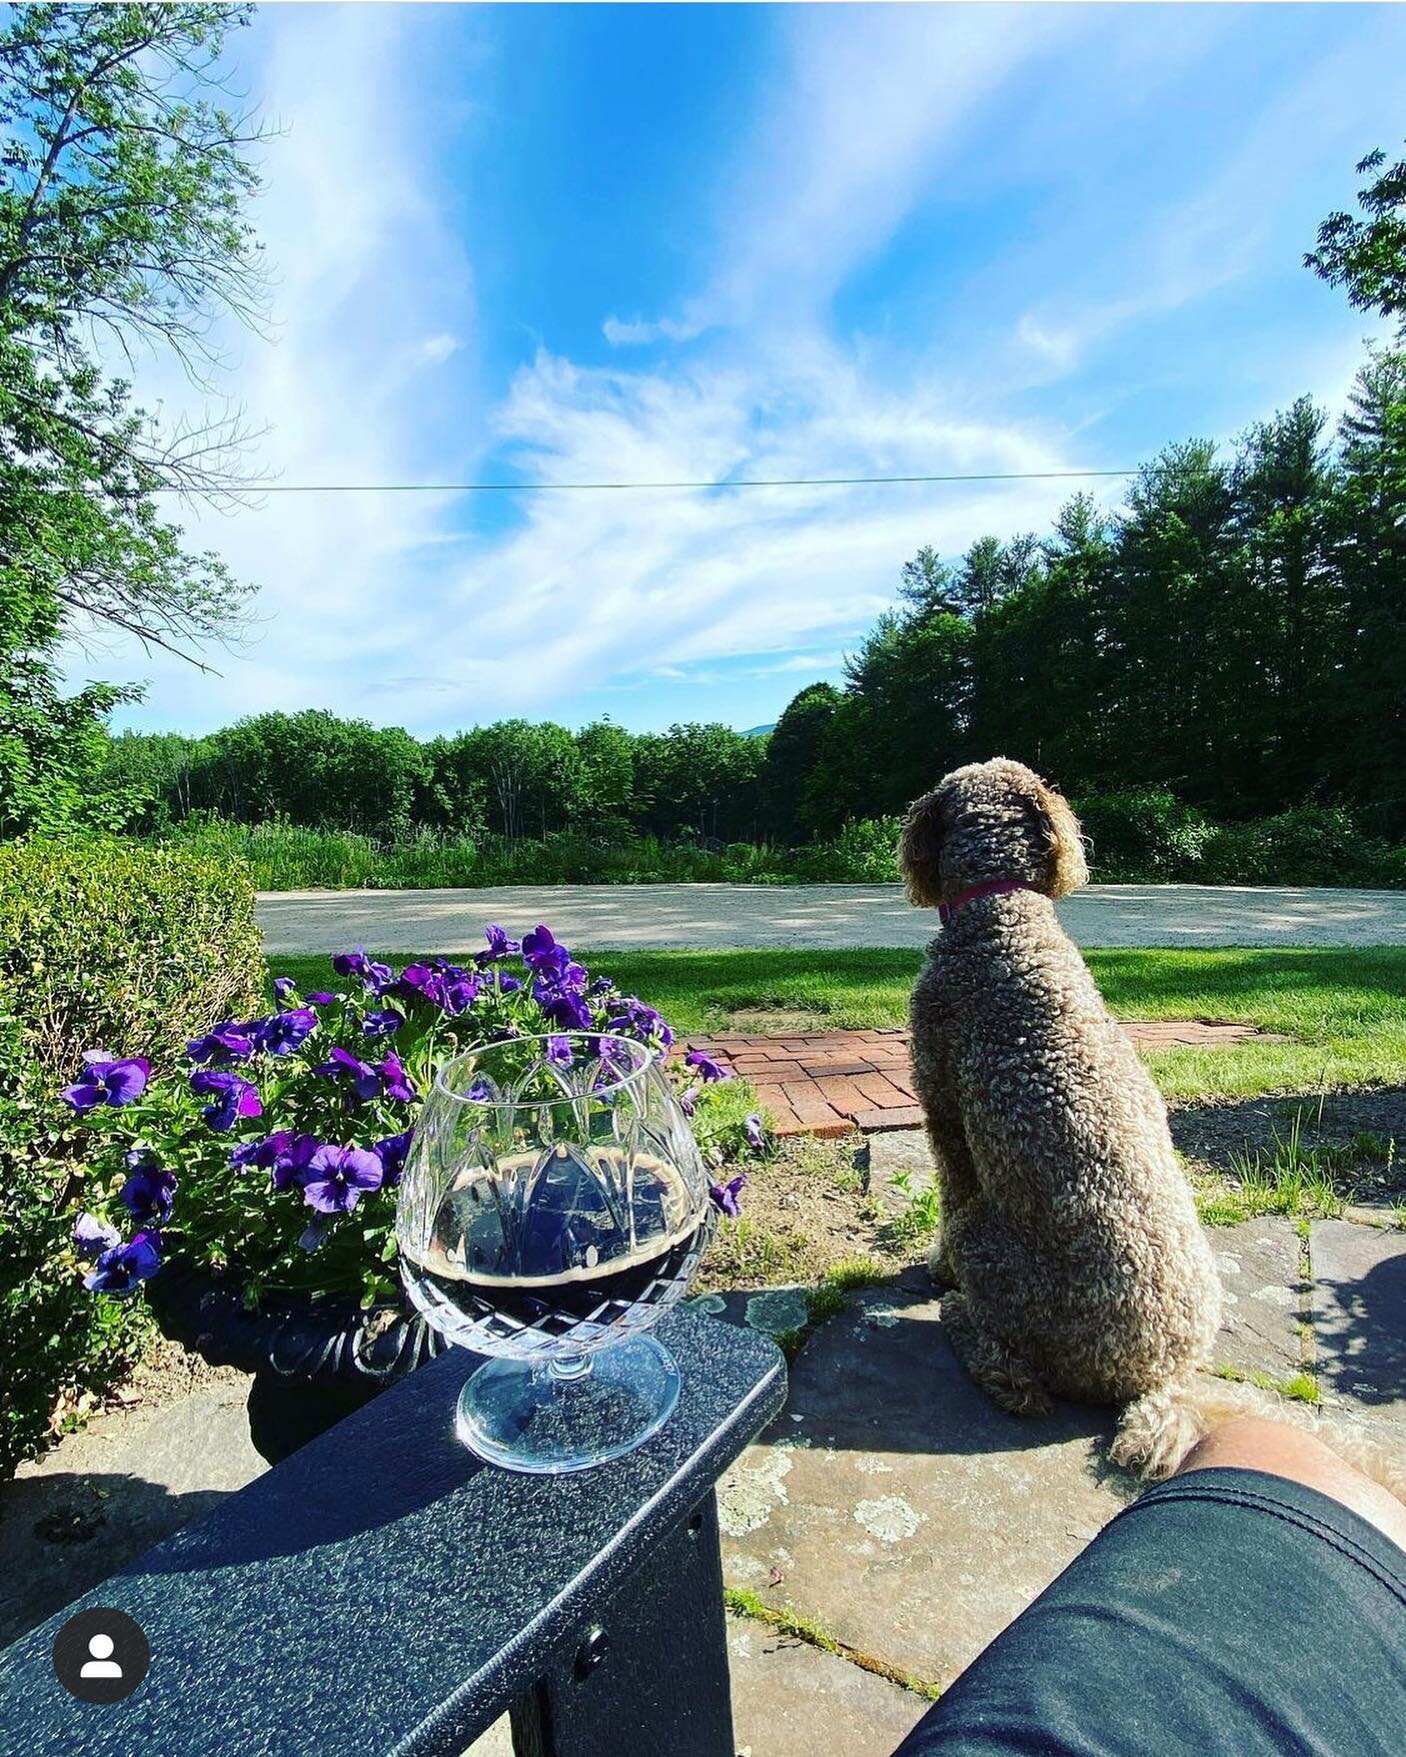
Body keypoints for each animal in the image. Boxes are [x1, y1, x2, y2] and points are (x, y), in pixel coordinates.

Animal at [899, 762, 1216, 1475]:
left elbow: (947, 1190)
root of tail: (1152, 1378)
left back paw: (961, 1319)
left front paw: (935, 1269)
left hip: (985, 1239)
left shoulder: (943, 1112)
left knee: (1018, 1377)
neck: (1002, 911)